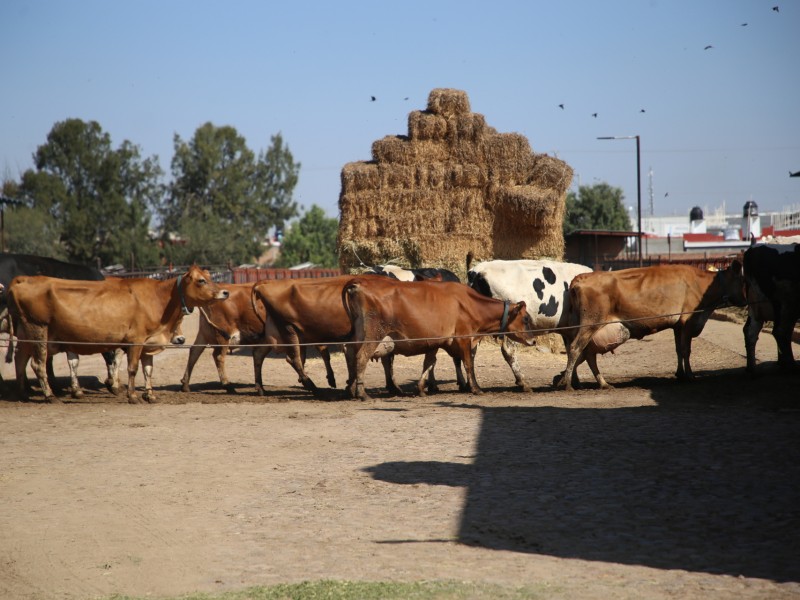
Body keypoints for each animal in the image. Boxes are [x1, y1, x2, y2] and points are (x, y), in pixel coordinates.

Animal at [7, 266, 228, 404]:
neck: (160, 298)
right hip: (38, 330)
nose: (225, 292)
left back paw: (23, 393)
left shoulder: (149, 343)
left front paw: (150, 395)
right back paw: (49, 396)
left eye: (210, 277)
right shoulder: (135, 341)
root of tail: (24, 279)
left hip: (27, 333)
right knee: (38, 364)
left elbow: (148, 370)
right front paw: (133, 396)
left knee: (21, 358)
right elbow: (132, 368)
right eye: (201, 280)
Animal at [340, 278, 536, 400]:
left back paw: (351, 389)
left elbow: (429, 363)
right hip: (373, 334)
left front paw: (421, 388)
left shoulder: (435, 342)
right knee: (361, 357)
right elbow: (468, 364)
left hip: (358, 335)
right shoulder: (464, 338)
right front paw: (476, 388)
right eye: (526, 319)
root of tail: (360, 282)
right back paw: (362, 393)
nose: (534, 341)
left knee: (350, 355)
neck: (469, 303)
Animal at [466, 258, 592, 392]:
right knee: (509, 351)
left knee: (470, 350)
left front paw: (571, 380)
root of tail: (478, 270)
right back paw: (523, 382)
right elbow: (577, 351)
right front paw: (567, 381)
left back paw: (471, 385)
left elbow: (571, 351)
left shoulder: (568, 330)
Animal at [740, 241, 796, 372]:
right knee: (781, 331)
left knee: (750, 331)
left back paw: (752, 368)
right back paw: (790, 366)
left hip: (756, 308)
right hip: (785, 305)